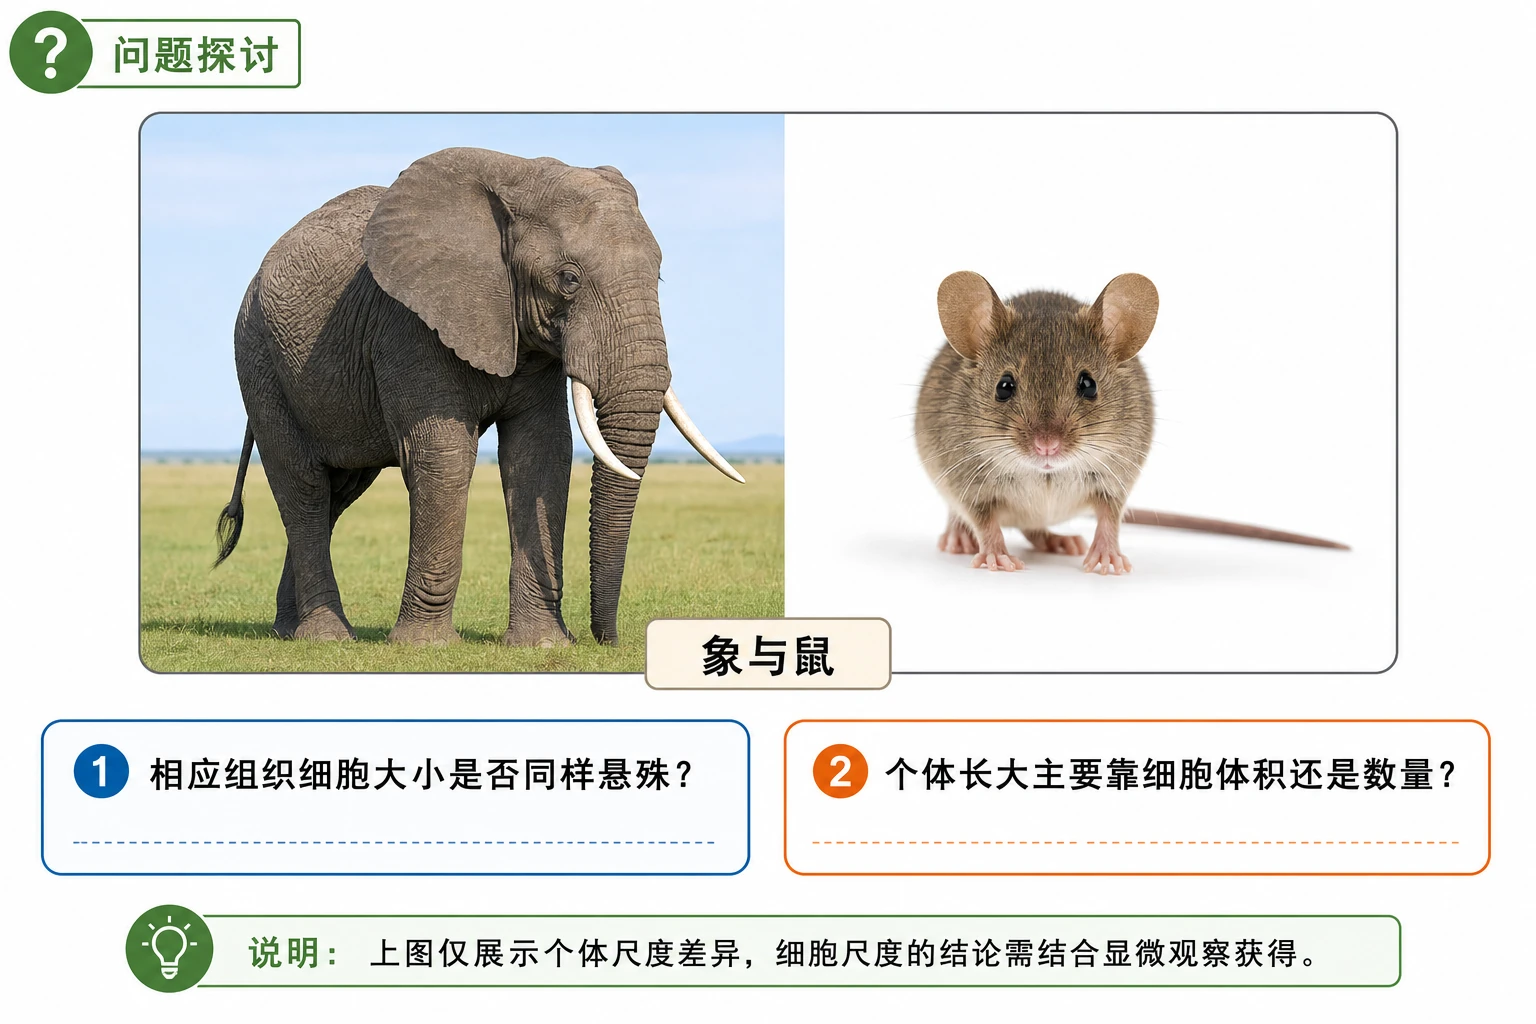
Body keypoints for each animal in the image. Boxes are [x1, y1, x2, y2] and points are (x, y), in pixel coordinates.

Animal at [212, 147, 743, 646]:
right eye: (569, 280)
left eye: (659, 276)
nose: (604, 641)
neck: (517, 179)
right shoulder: (408, 323)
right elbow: (442, 455)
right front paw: (425, 647)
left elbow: (541, 454)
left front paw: (542, 645)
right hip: (259, 357)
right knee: (302, 484)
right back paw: (327, 636)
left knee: (336, 492)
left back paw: (290, 631)